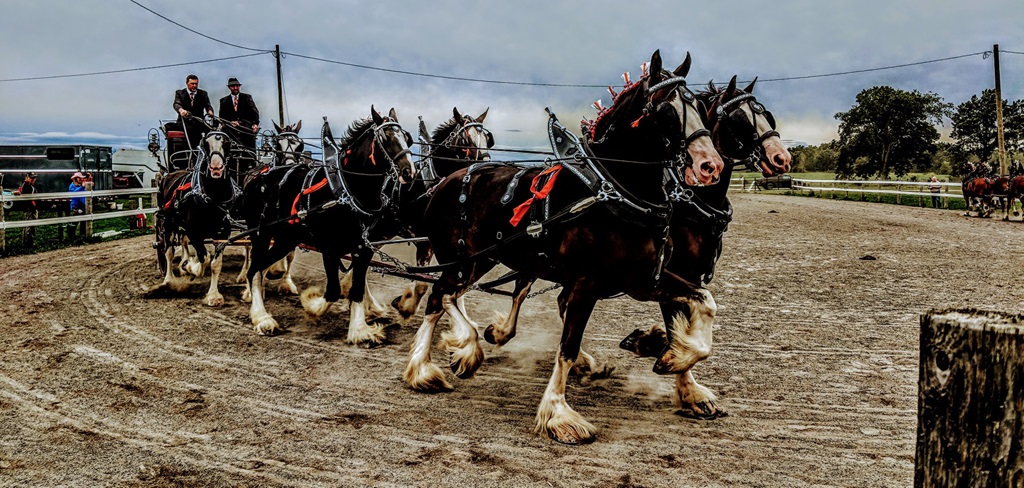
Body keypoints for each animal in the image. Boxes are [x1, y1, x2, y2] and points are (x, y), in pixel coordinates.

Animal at [151, 130, 240, 306]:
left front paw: (214, 295)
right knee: (168, 250)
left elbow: (215, 264)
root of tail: (169, 175)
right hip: (168, 223)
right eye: (205, 143)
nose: (216, 167)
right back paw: (169, 279)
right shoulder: (194, 231)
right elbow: (204, 258)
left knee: (183, 241)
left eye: (227, 143)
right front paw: (191, 267)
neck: (213, 197)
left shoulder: (222, 233)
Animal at [239, 107, 416, 342]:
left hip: (286, 238)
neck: (347, 191)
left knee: (262, 265)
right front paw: (311, 305)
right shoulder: (330, 248)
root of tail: (258, 177)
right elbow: (333, 290)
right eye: (385, 138)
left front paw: (359, 329)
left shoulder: (363, 248)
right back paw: (261, 316)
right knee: (254, 269)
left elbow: (357, 288)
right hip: (260, 234)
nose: (409, 171)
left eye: (406, 137)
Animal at [403, 50, 724, 444]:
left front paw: (673, 358)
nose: (710, 165)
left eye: (698, 107)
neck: (613, 193)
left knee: (445, 295)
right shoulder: (587, 284)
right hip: (462, 259)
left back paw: (449, 356)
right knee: (439, 296)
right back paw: (438, 362)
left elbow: (705, 303)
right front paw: (558, 414)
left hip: (479, 259)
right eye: (665, 110)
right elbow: (567, 349)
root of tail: (447, 180)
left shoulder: (642, 280)